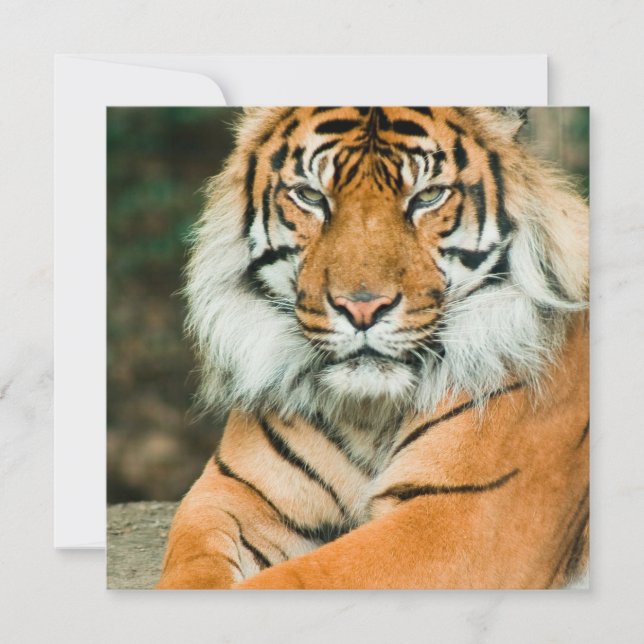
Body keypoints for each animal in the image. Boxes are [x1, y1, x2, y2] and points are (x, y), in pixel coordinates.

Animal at [157, 106, 589, 589]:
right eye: (311, 196)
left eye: (428, 196)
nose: (362, 308)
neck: (368, 413)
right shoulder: (233, 491)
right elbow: (192, 566)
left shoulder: (463, 516)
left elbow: (304, 576)